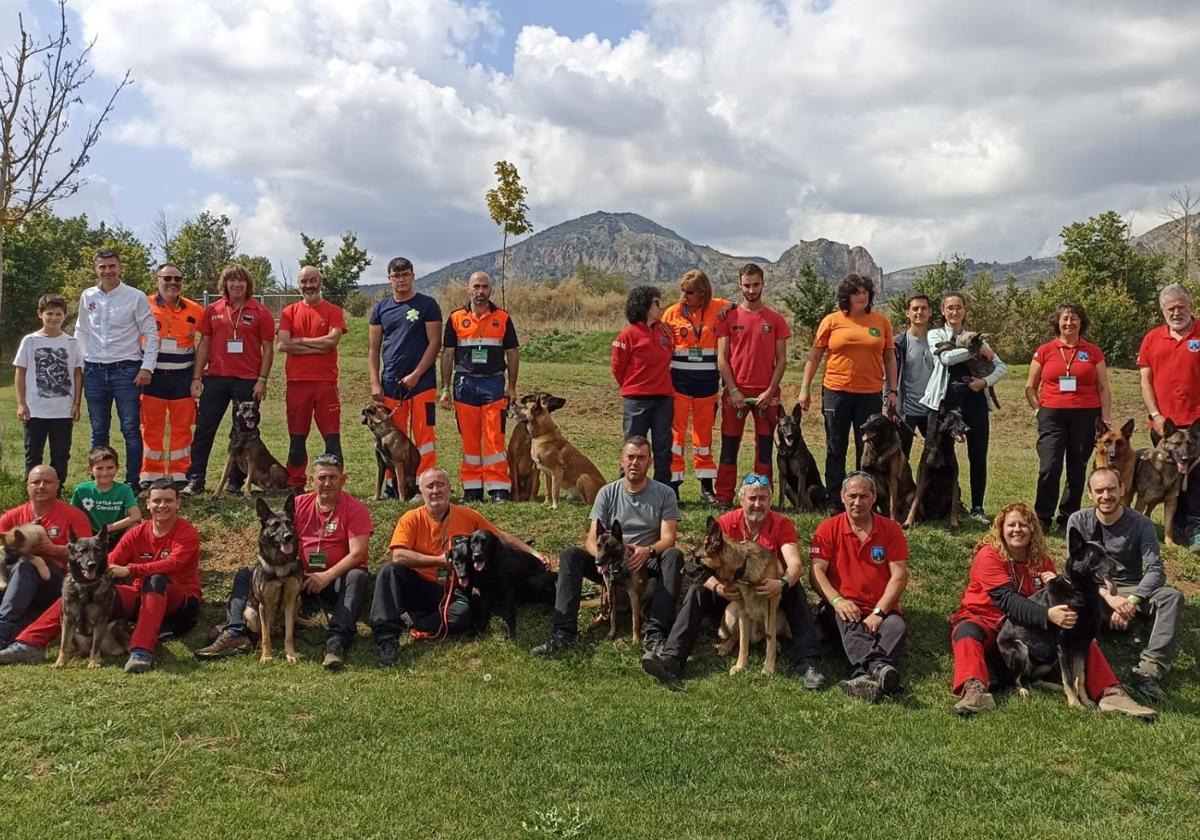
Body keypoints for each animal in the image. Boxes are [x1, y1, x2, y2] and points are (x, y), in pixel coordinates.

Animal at [55, 525, 129, 667]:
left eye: (97, 550)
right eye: (82, 551)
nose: (92, 565)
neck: (86, 586)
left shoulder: (100, 621)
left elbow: (96, 645)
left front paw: (93, 663)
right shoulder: (68, 619)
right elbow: (63, 644)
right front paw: (60, 662)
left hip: (116, 627)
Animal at [241, 494, 302, 667]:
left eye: (289, 522)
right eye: (274, 525)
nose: (288, 536)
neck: (280, 565)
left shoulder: (290, 602)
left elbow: (289, 635)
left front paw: (290, 654)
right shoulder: (264, 605)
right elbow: (266, 637)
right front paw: (267, 656)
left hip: (298, 600)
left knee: (292, 622)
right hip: (251, 613)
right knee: (262, 633)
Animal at [696, 511, 787, 676]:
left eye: (697, 559)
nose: (681, 570)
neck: (743, 570)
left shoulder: (770, 611)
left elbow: (769, 643)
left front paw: (769, 667)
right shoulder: (743, 613)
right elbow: (743, 644)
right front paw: (740, 666)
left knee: (769, 637)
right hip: (731, 613)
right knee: (736, 636)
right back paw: (725, 646)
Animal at [993, 525, 1113, 710]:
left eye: (1107, 553)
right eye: (1096, 556)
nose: (1119, 568)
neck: (1079, 593)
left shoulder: (1082, 645)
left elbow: (1080, 677)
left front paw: (1084, 701)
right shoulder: (1062, 646)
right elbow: (1068, 677)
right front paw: (1075, 704)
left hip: (1047, 659)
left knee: (1032, 680)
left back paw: (1055, 687)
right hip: (1020, 649)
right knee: (1017, 680)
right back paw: (1022, 691)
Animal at [1132, 420, 1200, 552]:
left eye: (1189, 444)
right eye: (1177, 443)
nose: (1185, 459)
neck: (1167, 470)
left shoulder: (1171, 503)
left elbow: (1169, 526)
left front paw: (1170, 543)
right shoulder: (1142, 500)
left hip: (1153, 501)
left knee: (1148, 514)